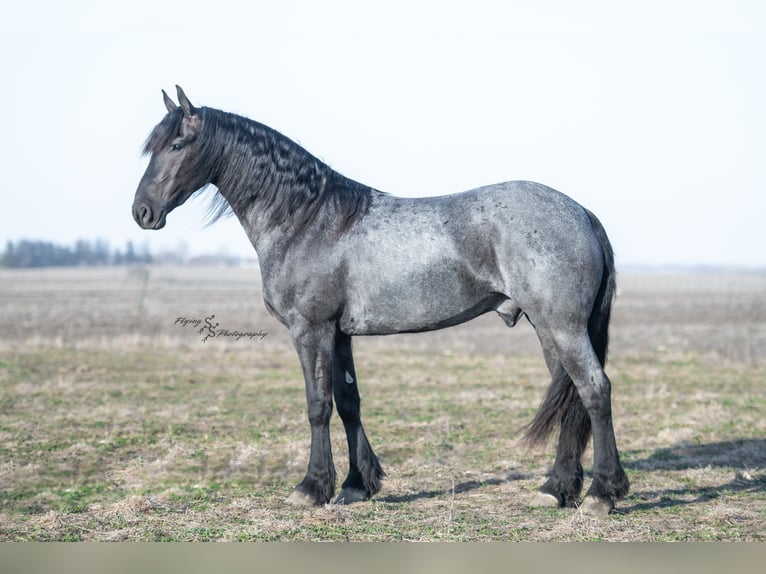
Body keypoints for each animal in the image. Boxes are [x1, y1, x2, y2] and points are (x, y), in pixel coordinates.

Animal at [132, 86, 629, 514]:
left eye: (177, 144)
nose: (142, 212)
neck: (310, 220)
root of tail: (580, 212)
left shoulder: (310, 330)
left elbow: (318, 406)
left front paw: (312, 487)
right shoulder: (339, 335)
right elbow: (348, 402)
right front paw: (357, 485)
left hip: (562, 326)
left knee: (594, 389)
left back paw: (602, 494)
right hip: (547, 329)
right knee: (570, 397)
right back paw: (556, 489)